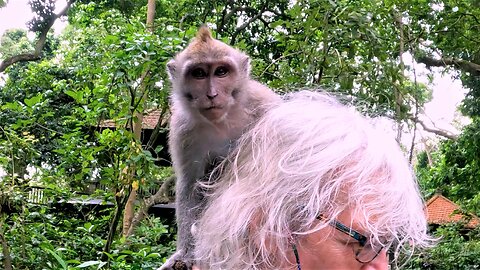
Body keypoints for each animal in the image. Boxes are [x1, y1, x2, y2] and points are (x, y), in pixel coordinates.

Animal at [160, 25, 282, 270]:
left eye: (221, 72)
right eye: (198, 73)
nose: (212, 94)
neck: (222, 120)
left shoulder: (263, 102)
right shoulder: (182, 129)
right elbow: (190, 184)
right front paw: (186, 254)